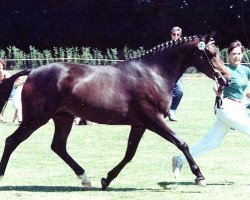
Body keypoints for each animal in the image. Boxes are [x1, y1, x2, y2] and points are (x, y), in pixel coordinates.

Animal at [0, 33, 230, 190]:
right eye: (211, 54)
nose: (226, 78)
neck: (154, 73)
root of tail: (33, 72)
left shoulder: (139, 124)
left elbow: (129, 153)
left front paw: (106, 179)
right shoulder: (153, 120)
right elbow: (181, 143)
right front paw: (199, 176)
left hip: (63, 117)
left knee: (58, 146)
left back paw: (85, 178)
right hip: (35, 118)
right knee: (12, 141)